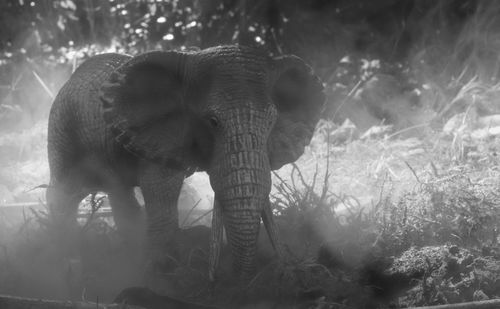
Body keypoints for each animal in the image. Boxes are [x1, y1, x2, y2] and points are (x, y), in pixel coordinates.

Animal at [47, 45, 326, 280]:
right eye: (212, 122)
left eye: (271, 122)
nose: (230, 279)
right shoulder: (162, 130)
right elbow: (162, 188)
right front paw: (162, 270)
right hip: (61, 127)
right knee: (64, 193)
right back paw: (63, 259)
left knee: (119, 194)